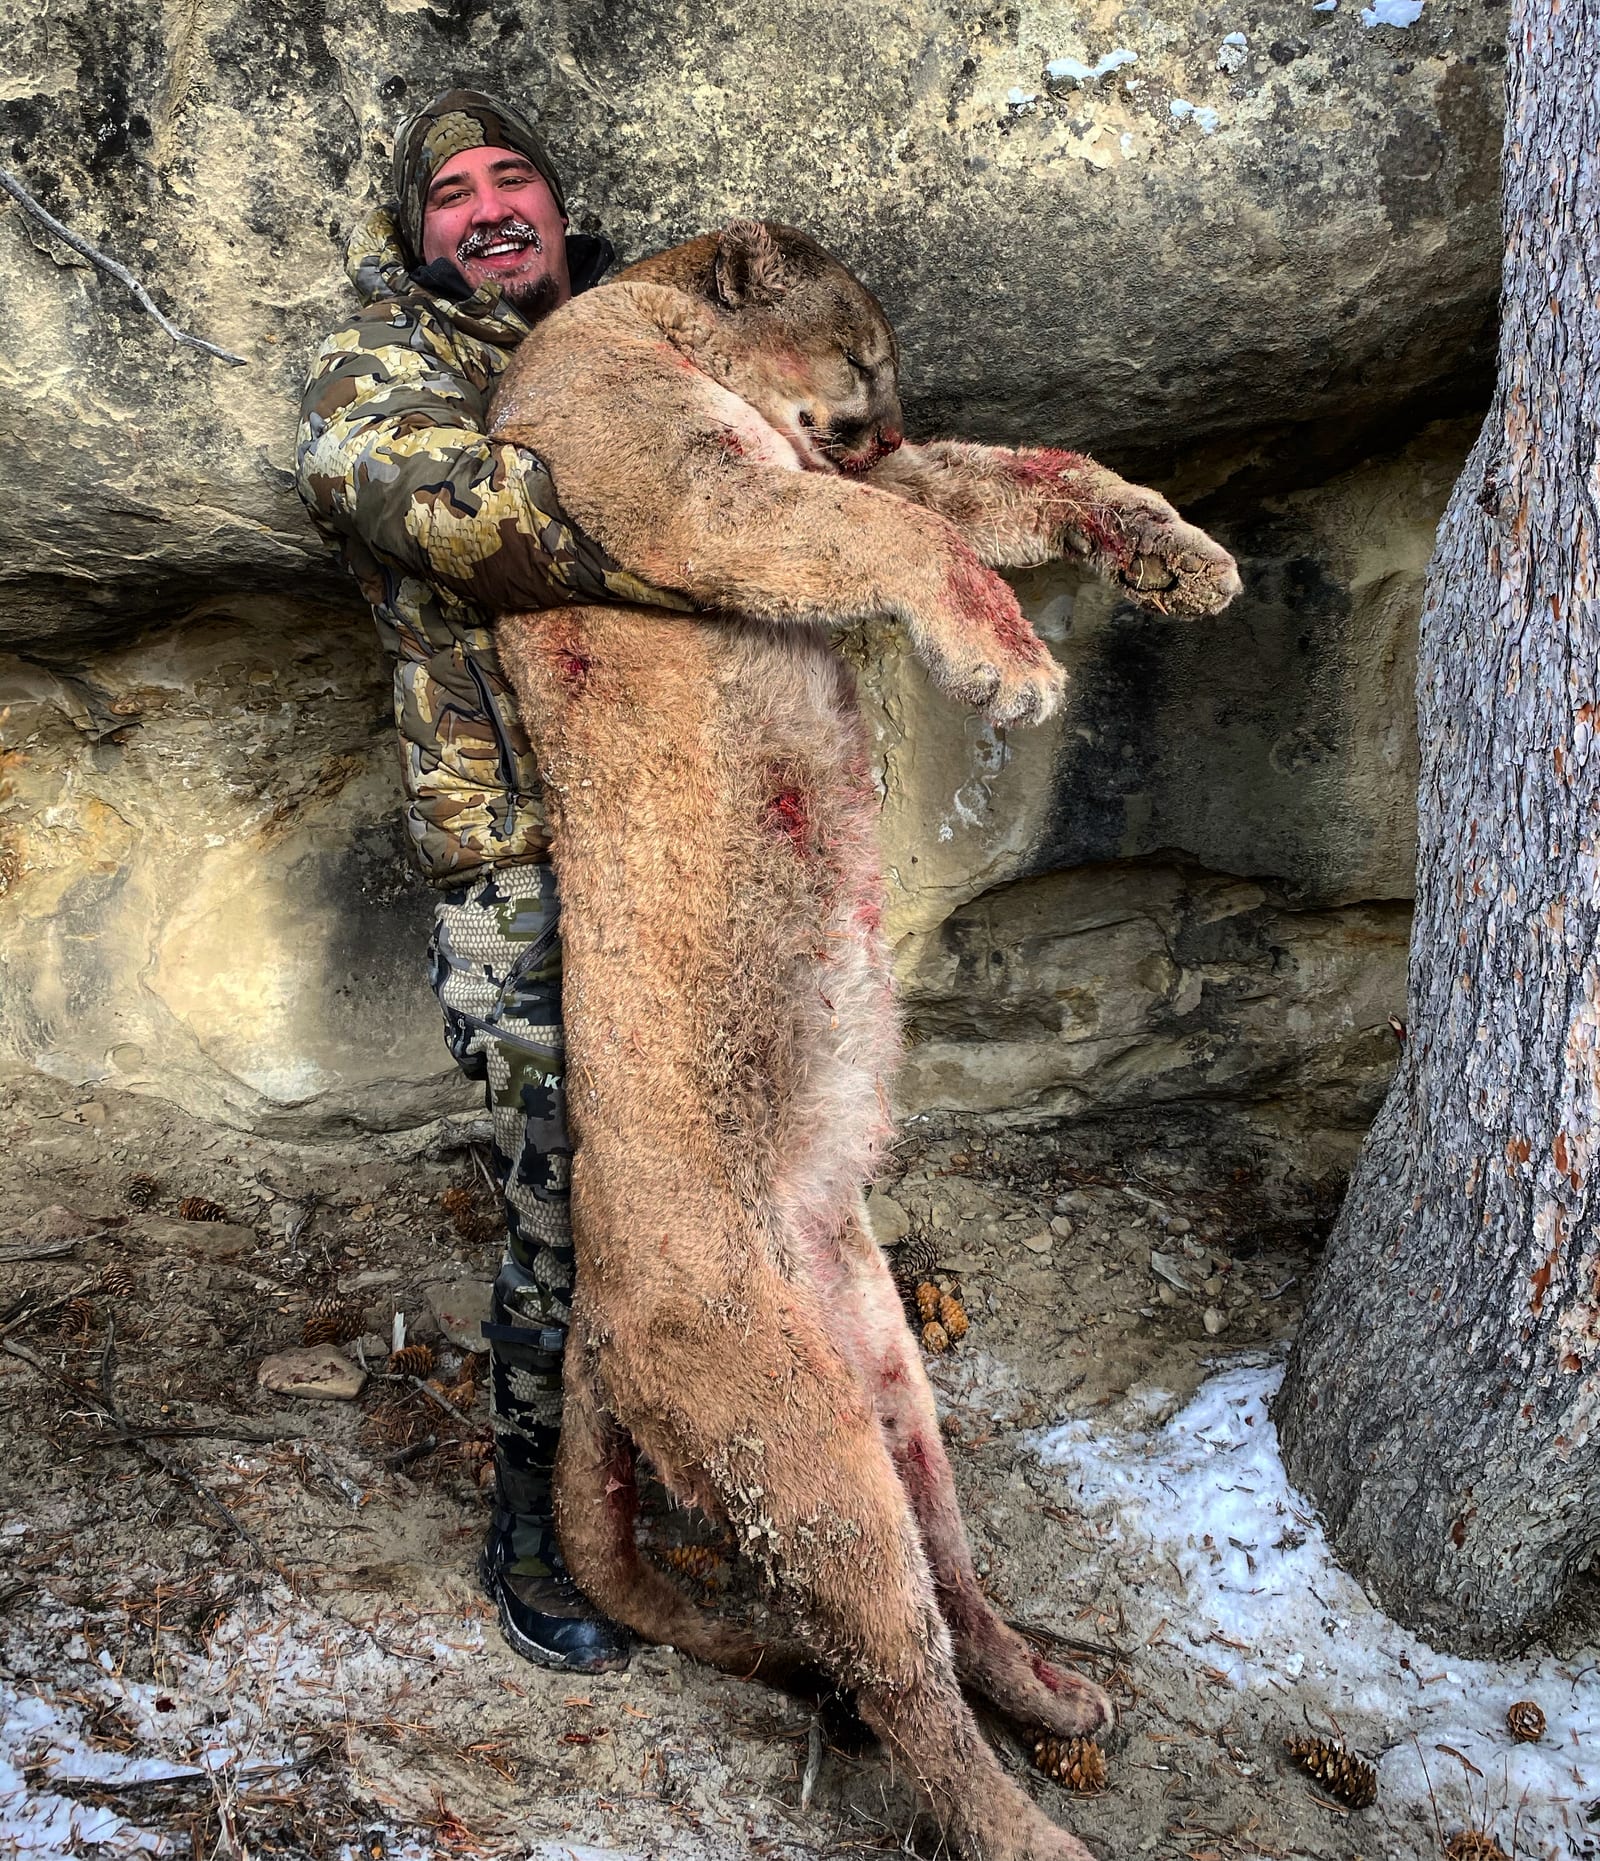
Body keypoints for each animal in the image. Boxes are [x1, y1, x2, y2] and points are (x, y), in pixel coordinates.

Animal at [486, 221, 1239, 1861]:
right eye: (866, 355)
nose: (882, 421)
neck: (633, 317)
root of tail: (596, 1325)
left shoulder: (835, 476)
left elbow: (1000, 477)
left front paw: (1176, 553)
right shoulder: (692, 491)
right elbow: (906, 533)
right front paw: (1012, 667)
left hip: (892, 1372)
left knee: (948, 1584)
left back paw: (1049, 1689)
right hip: (795, 1433)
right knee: (891, 1661)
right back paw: (1030, 1830)